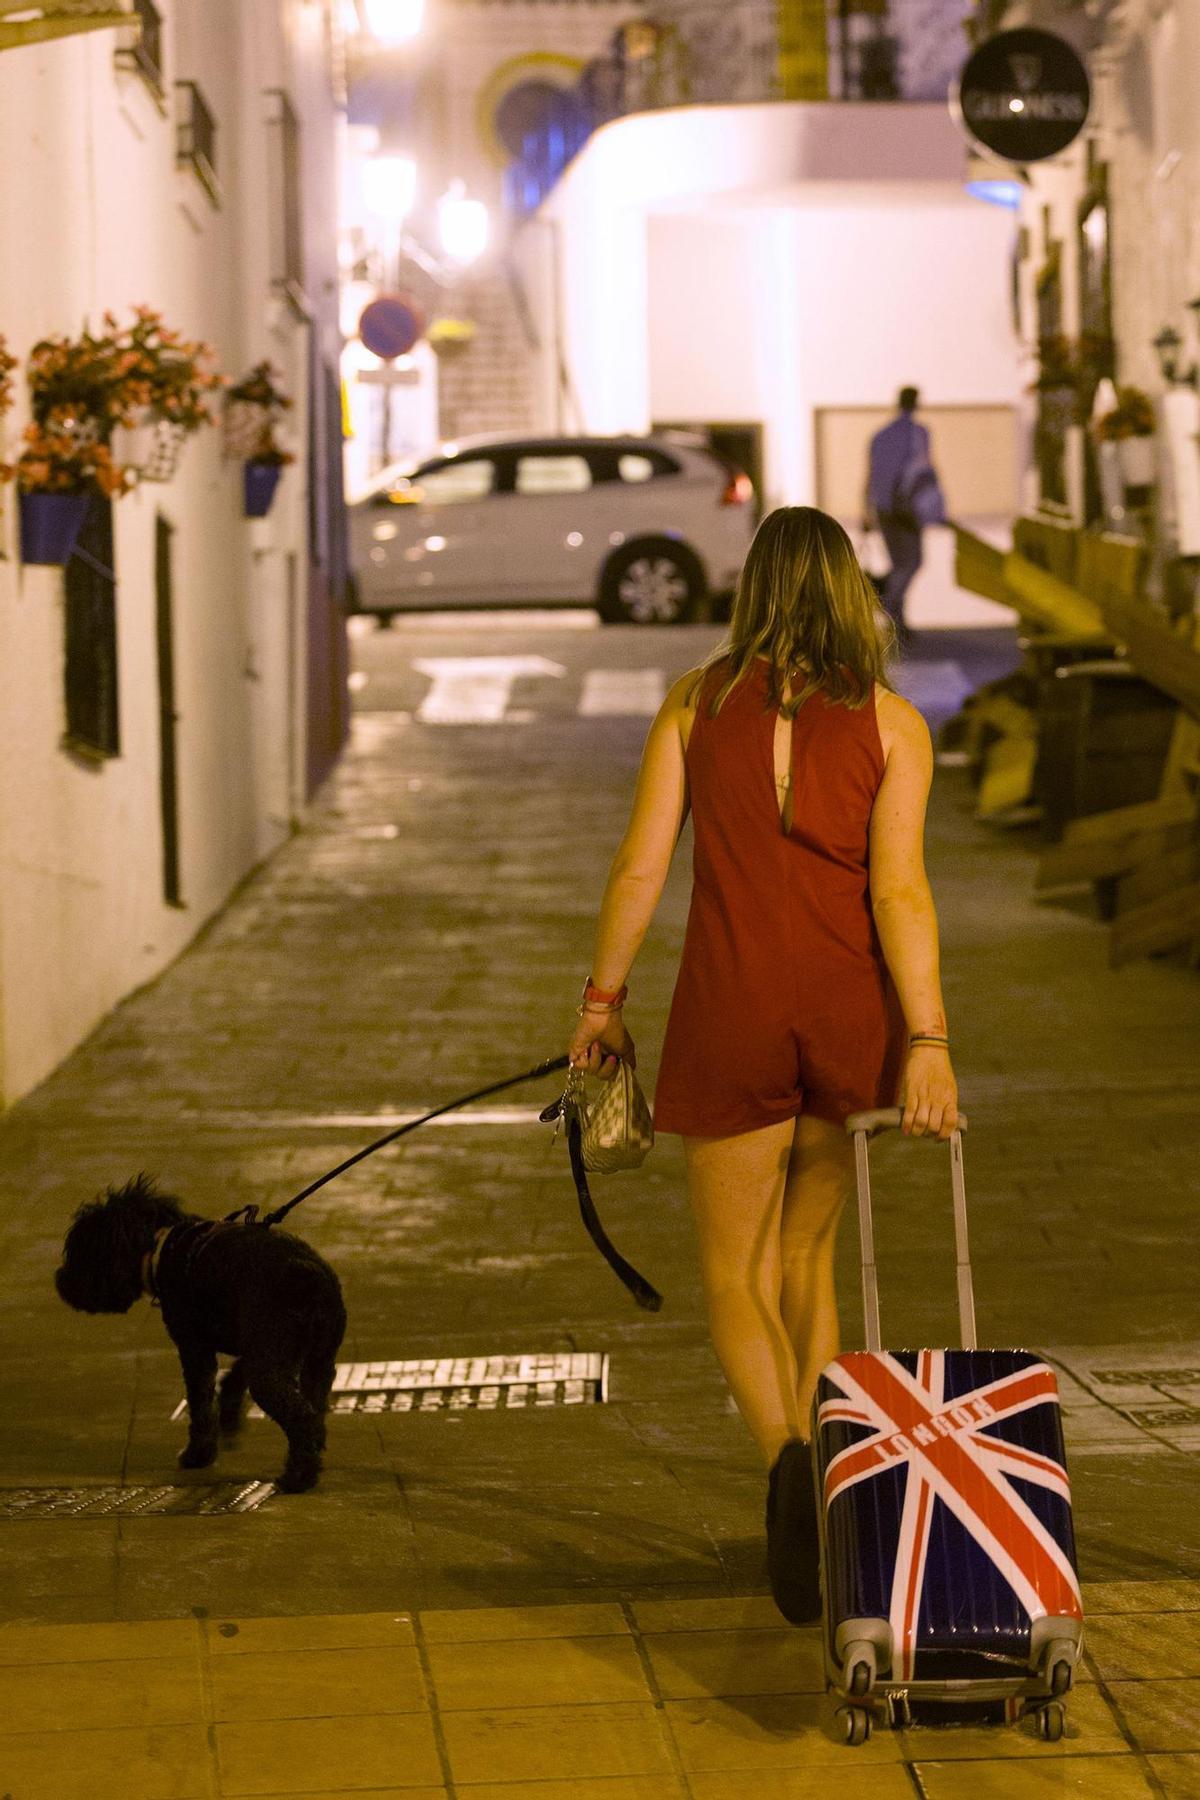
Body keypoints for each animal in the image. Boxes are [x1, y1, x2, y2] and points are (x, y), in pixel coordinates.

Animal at [56, 1180, 347, 1490]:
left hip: (270, 1372)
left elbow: (201, 1406)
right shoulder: (254, 1343)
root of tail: (310, 1275)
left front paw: (198, 1454)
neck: (161, 1246)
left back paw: (297, 1477)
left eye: (79, 1254)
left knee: (301, 1417)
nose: (60, 1280)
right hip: (317, 1363)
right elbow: (234, 1376)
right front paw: (229, 1415)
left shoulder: (195, 1349)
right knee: (316, 1411)